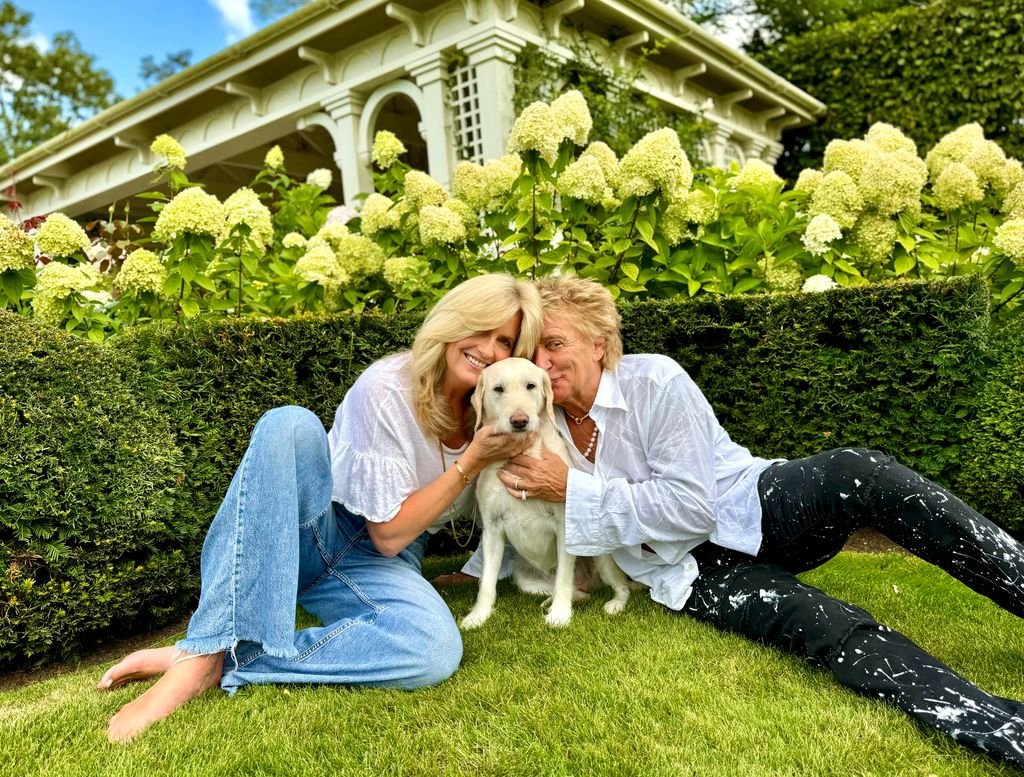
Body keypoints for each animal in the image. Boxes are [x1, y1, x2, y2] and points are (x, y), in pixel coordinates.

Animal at [460, 362, 626, 630]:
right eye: (498, 389)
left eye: (531, 386)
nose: (519, 421)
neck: (522, 452)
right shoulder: (492, 529)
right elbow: (487, 583)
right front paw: (478, 615)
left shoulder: (564, 525)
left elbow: (563, 580)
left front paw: (559, 615)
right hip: (523, 576)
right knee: (578, 592)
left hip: (600, 554)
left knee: (619, 588)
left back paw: (613, 604)